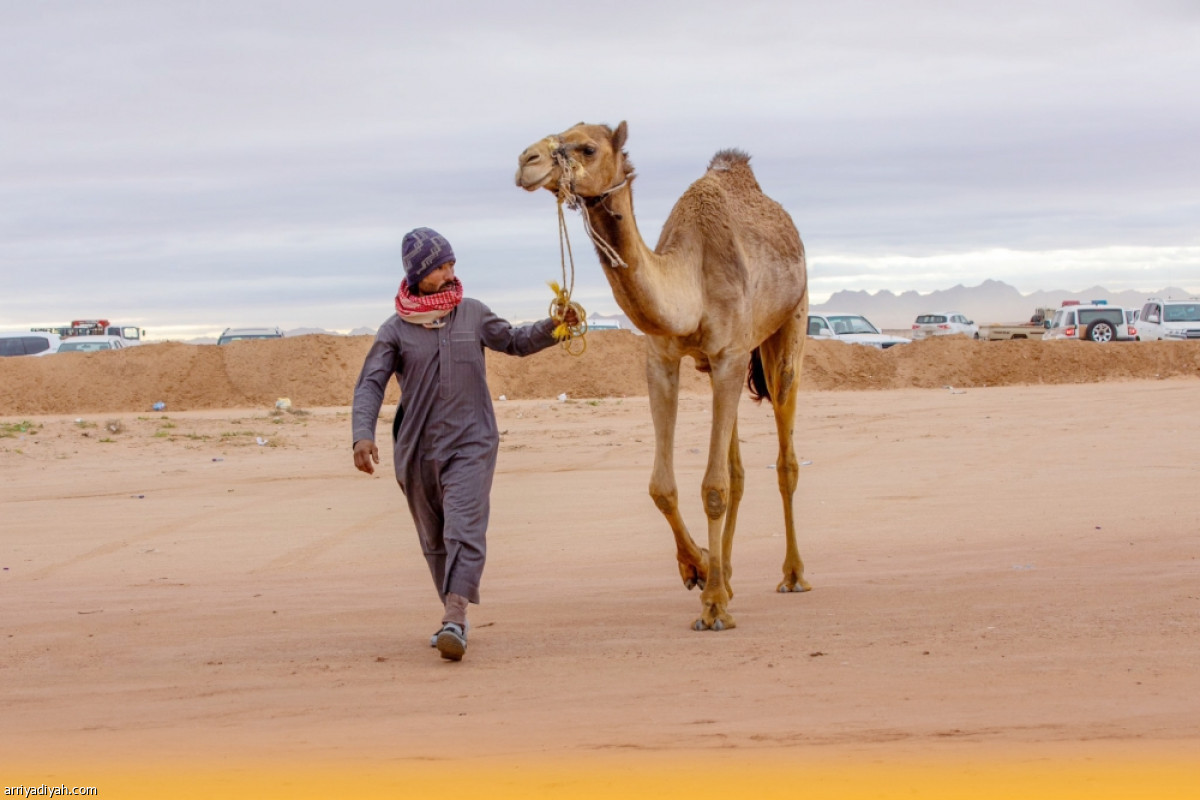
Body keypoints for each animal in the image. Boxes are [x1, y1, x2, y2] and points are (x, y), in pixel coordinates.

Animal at [511, 120, 811, 633]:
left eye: (587, 147)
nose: (525, 161)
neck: (690, 281)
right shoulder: (664, 360)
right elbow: (663, 487)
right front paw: (701, 569)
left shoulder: (730, 355)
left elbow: (713, 487)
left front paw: (713, 608)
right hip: (726, 362)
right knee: (738, 470)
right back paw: (729, 575)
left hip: (787, 326)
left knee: (785, 457)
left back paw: (792, 576)